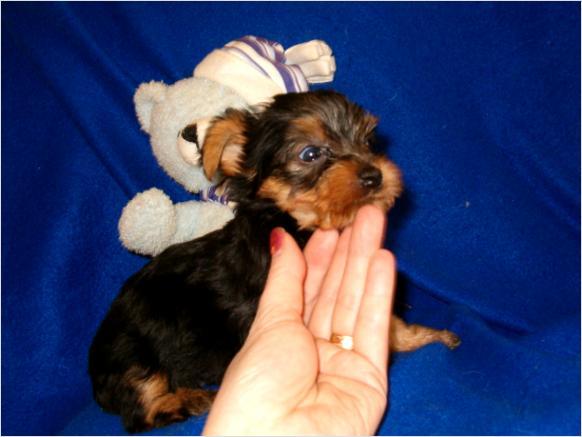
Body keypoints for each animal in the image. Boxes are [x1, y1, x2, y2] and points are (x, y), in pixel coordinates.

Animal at [89, 90, 460, 430]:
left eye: (369, 141)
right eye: (310, 153)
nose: (374, 175)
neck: (297, 225)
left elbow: (390, 326)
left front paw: (427, 335)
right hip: (131, 352)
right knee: (140, 409)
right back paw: (187, 400)